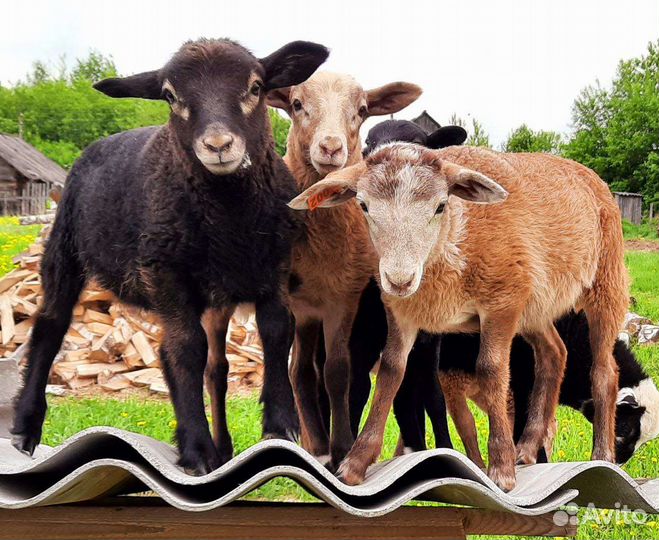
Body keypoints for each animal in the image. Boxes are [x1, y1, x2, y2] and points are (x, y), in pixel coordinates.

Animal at [10, 38, 329, 475]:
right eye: (170, 96)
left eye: (256, 87)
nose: (217, 146)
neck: (230, 220)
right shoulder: (166, 274)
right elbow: (184, 350)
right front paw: (196, 449)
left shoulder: (276, 267)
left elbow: (277, 332)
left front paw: (280, 428)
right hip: (66, 247)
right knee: (50, 327)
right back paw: (26, 428)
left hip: (216, 293)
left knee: (216, 367)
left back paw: (224, 447)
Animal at [266, 72, 422, 468]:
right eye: (296, 104)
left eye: (362, 110)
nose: (331, 148)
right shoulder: (290, 303)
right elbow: (296, 371)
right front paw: (323, 447)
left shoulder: (345, 297)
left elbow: (337, 373)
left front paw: (341, 449)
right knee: (298, 370)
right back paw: (312, 442)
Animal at [289, 144, 628, 490]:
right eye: (364, 205)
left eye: (441, 205)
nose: (399, 280)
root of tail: (586, 173)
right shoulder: (402, 312)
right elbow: (391, 372)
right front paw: (356, 462)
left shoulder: (502, 302)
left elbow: (491, 370)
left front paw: (501, 468)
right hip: (535, 306)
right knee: (553, 354)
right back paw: (527, 447)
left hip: (606, 281)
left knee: (604, 370)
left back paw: (601, 454)